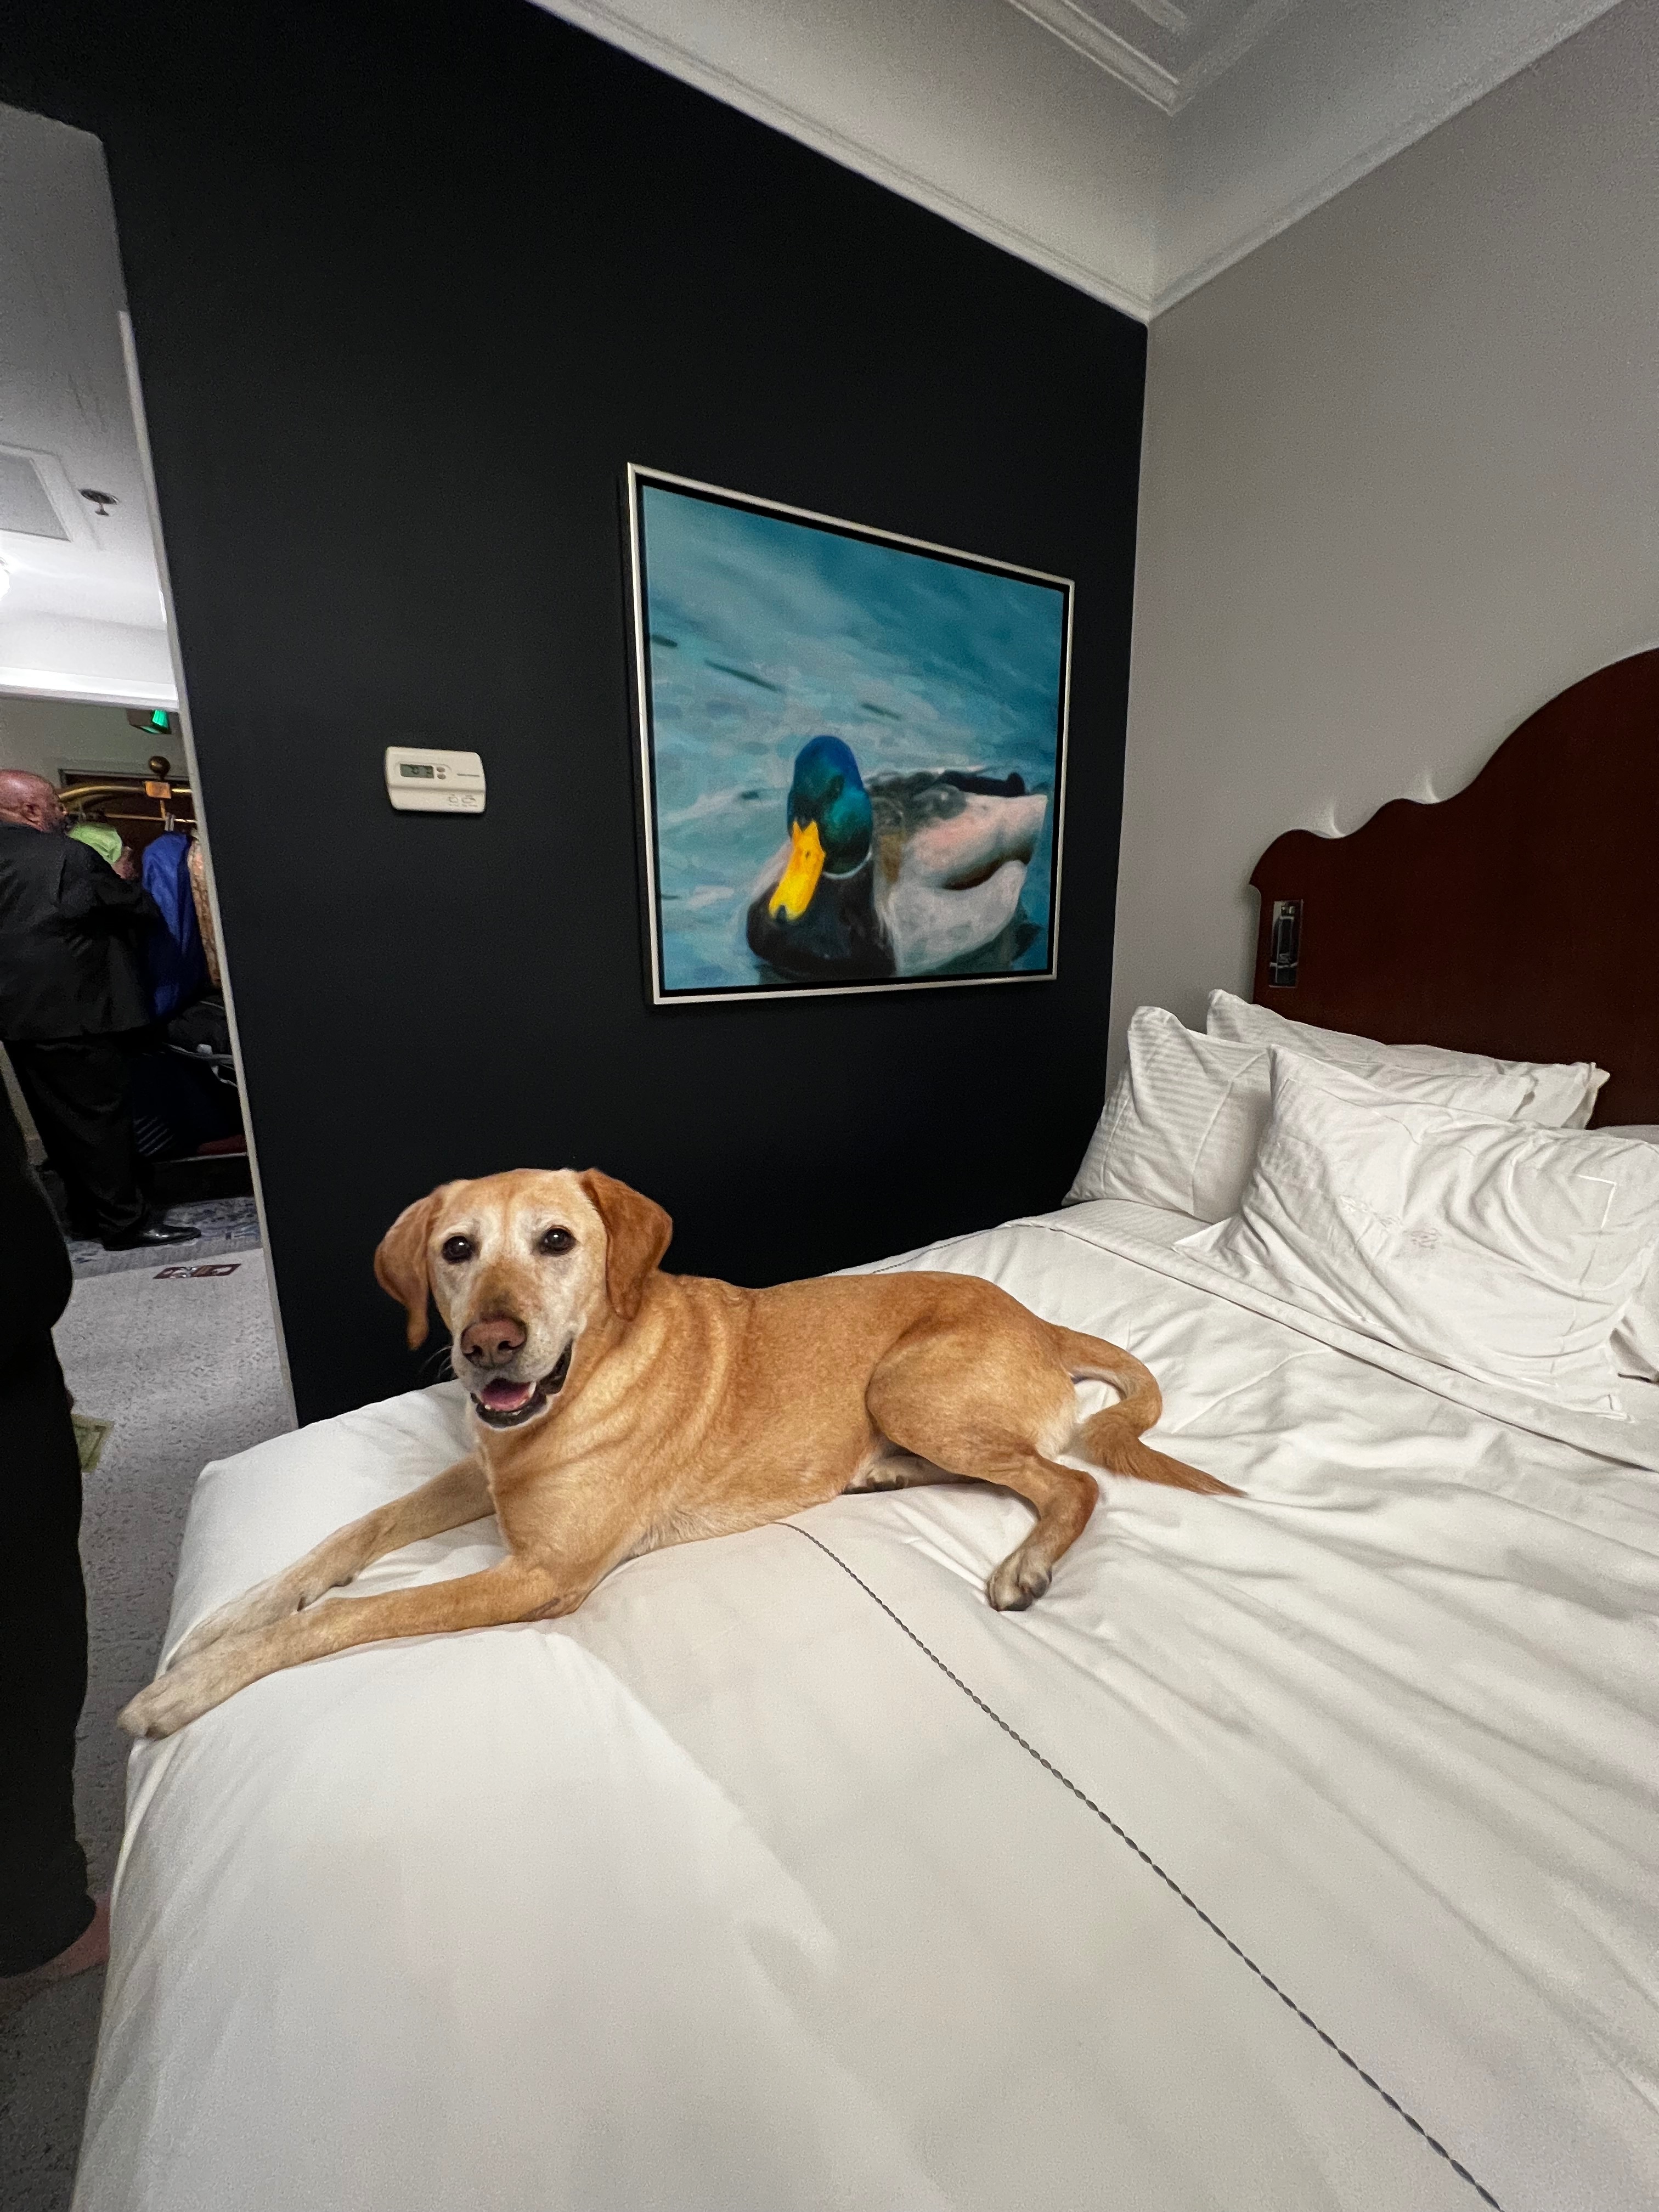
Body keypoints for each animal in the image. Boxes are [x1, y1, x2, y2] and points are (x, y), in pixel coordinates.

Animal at [120, 1169, 1232, 1738]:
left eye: (557, 1241)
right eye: (456, 1250)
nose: (488, 1347)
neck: (580, 1382)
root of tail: (1041, 1322)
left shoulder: (541, 1573)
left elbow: (358, 1612)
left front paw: (191, 1686)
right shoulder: (479, 1471)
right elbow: (349, 1536)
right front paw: (226, 1616)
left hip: (906, 1385)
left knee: (1070, 1480)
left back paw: (1028, 1561)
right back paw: (879, 1469)